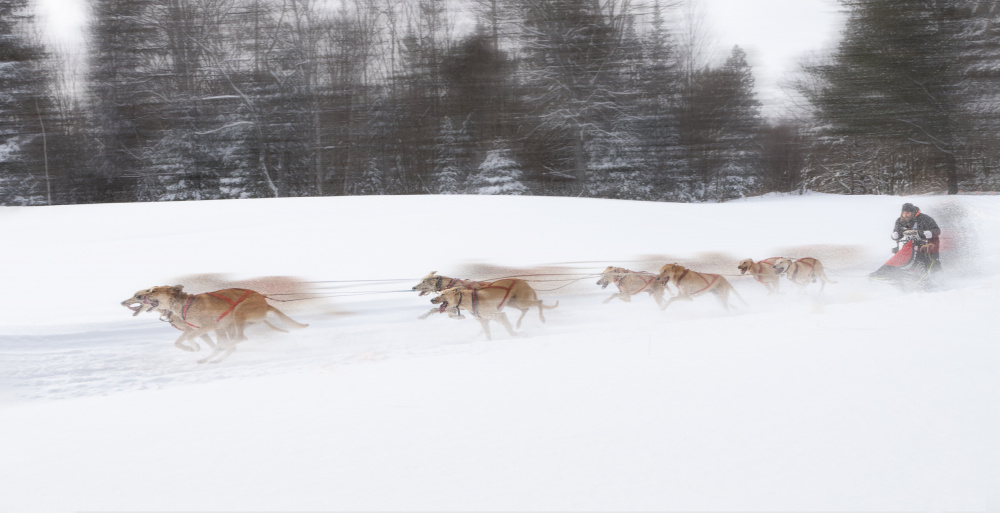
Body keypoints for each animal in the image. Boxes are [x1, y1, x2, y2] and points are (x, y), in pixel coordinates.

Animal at [122, 284, 306, 364]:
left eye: (152, 291)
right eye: (145, 292)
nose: (123, 302)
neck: (184, 305)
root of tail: (265, 302)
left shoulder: (207, 327)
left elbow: (186, 340)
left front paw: (194, 348)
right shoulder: (202, 329)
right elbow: (184, 341)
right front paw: (197, 349)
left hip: (237, 314)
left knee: (240, 338)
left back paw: (218, 351)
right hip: (230, 325)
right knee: (234, 342)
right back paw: (212, 357)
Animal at [410, 270, 560, 326]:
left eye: (424, 281)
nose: (413, 287)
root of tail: (526, 283)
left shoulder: (455, 306)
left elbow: (447, 313)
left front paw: (460, 317)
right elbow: (435, 310)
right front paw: (422, 316)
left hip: (522, 301)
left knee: (539, 303)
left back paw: (542, 318)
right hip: (512, 303)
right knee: (526, 310)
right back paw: (518, 323)